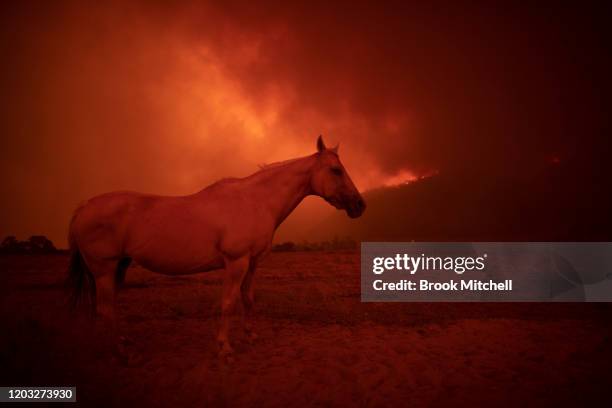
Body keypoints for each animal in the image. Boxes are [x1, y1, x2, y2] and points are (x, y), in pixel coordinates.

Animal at [68, 135, 364, 356]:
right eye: (336, 170)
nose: (360, 205)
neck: (255, 201)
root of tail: (84, 207)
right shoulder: (236, 262)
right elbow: (228, 302)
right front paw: (225, 347)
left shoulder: (252, 263)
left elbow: (248, 299)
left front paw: (251, 335)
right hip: (104, 269)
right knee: (105, 309)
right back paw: (120, 352)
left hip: (118, 267)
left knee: (109, 307)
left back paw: (117, 343)